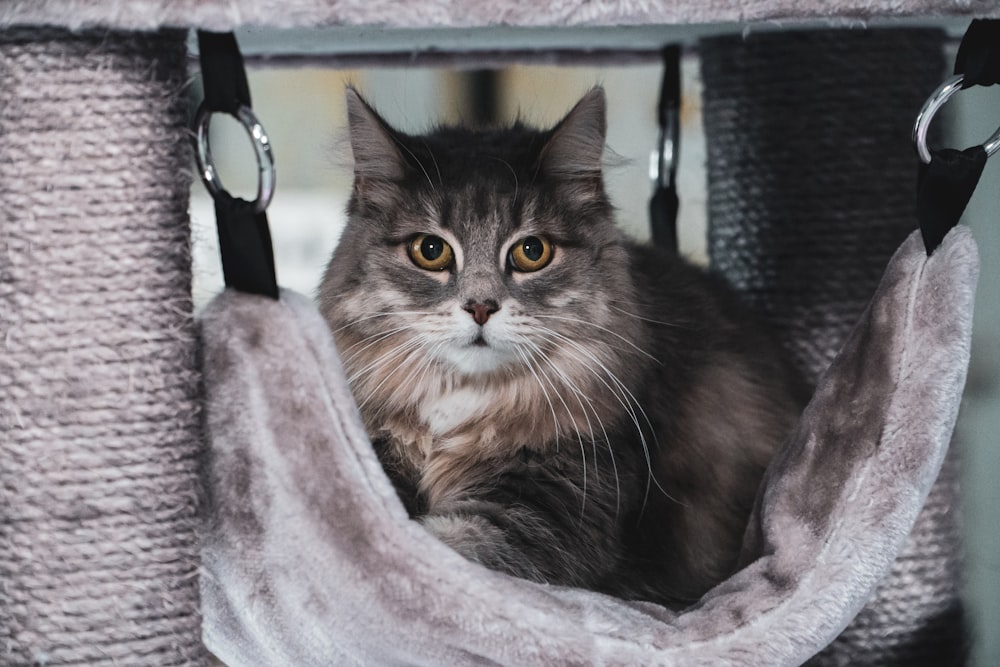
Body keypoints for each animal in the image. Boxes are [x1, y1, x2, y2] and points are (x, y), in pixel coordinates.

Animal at [316, 86, 808, 608]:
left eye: (532, 252)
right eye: (430, 251)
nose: (481, 306)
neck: (462, 404)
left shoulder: (550, 510)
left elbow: (437, 548)